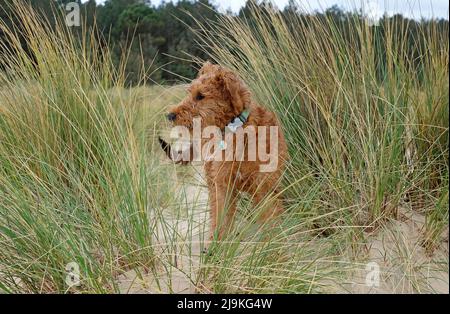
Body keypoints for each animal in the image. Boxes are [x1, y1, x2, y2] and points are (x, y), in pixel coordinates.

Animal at [160, 63, 288, 240]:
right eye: (189, 92)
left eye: (200, 96)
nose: (170, 115)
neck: (235, 128)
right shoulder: (223, 186)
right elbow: (222, 220)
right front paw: (218, 244)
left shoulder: (265, 186)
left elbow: (271, 220)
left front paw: (274, 244)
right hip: (212, 178)